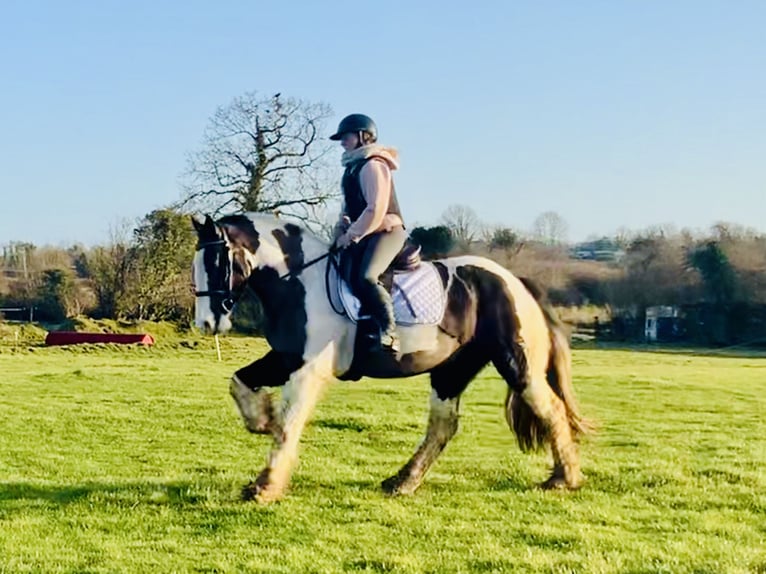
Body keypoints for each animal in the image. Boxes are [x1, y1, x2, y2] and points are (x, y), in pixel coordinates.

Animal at [192, 213, 588, 504]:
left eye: (216, 261)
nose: (206, 323)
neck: (300, 284)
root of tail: (515, 281)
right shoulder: (284, 358)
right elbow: (240, 382)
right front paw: (262, 420)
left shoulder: (308, 369)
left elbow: (290, 424)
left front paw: (266, 485)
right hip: (451, 370)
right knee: (443, 426)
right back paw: (402, 481)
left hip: (515, 363)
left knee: (551, 408)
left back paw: (563, 479)